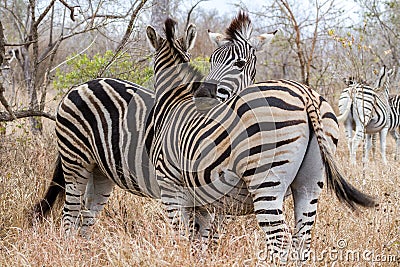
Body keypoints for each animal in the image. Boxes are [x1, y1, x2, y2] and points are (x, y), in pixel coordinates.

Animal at [146, 15, 376, 264]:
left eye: (240, 64)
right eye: (211, 59)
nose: (204, 95)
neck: (174, 102)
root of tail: (305, 95)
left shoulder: (171, 189)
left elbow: (181, 236)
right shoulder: (208, 201)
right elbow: (203, 238)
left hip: (266, 181)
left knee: (280, 240)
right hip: (310, 183)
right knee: (302, 239)